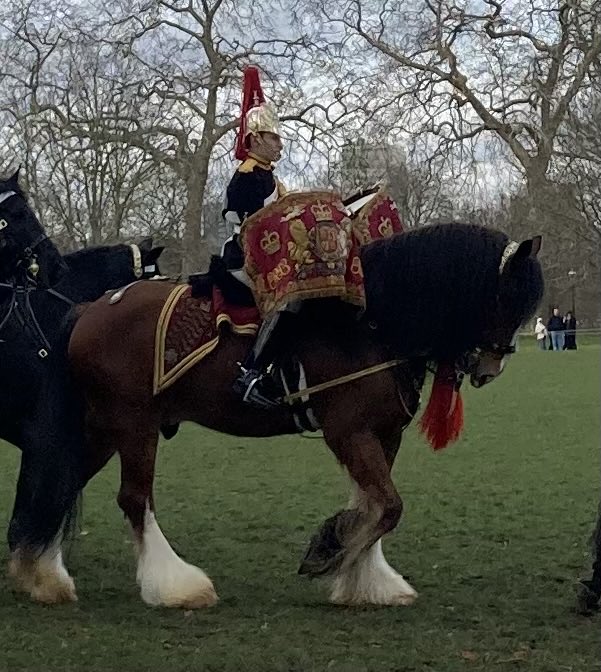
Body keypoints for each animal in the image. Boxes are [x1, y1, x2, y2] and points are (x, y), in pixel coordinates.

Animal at [7, 223, 543, 608]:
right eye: (507, 296)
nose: (491, 366)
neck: (368, 324)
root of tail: (89, 309)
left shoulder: (383, 435)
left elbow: (374, 504)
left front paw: (363, 577)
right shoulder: (347, 432)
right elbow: (387, 506)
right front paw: (331, 555)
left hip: (102, 428)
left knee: (60, 482)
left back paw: (40, 573)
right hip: (135, 424)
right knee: (134, 499)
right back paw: (176, 586)